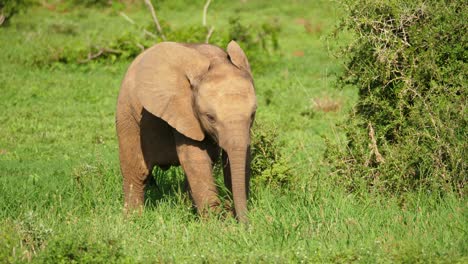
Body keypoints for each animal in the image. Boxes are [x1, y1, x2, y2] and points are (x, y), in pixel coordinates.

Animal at [116, 40, 256, 223]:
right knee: (136, 170)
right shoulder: (182, 111)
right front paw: (217, 222)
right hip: (127, 114)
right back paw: (133, 219)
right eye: (210, 117)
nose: (245, 225)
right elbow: (195, 158)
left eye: (253, 114)